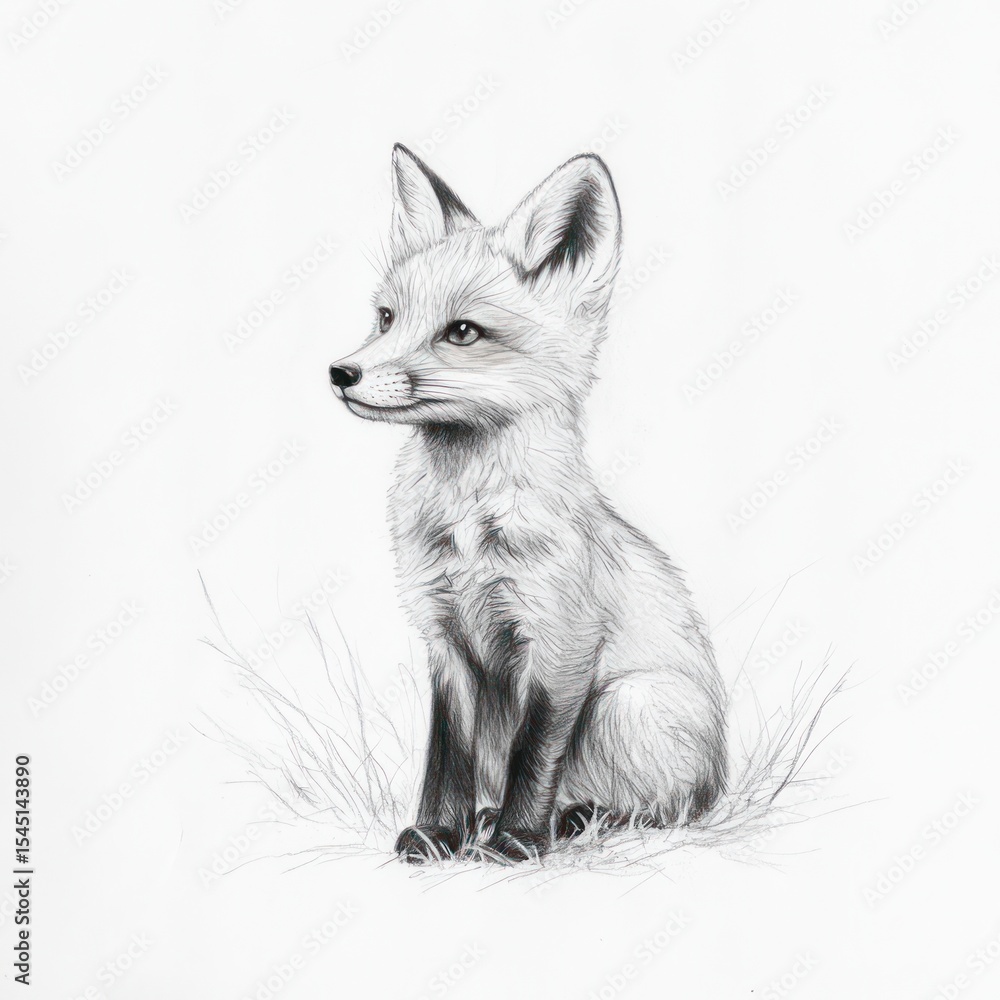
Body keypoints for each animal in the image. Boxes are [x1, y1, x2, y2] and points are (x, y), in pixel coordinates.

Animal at [328, 144, 727, 863]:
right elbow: (447, 756)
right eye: (386, 318)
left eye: (462, 332)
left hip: (627, 703)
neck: (469, 530)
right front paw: (439, 835)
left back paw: (573, 819)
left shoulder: (561, 641)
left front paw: (515, 841)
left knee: (665, 810)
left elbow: (535, 753)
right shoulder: (445, 638)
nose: (341, 373)